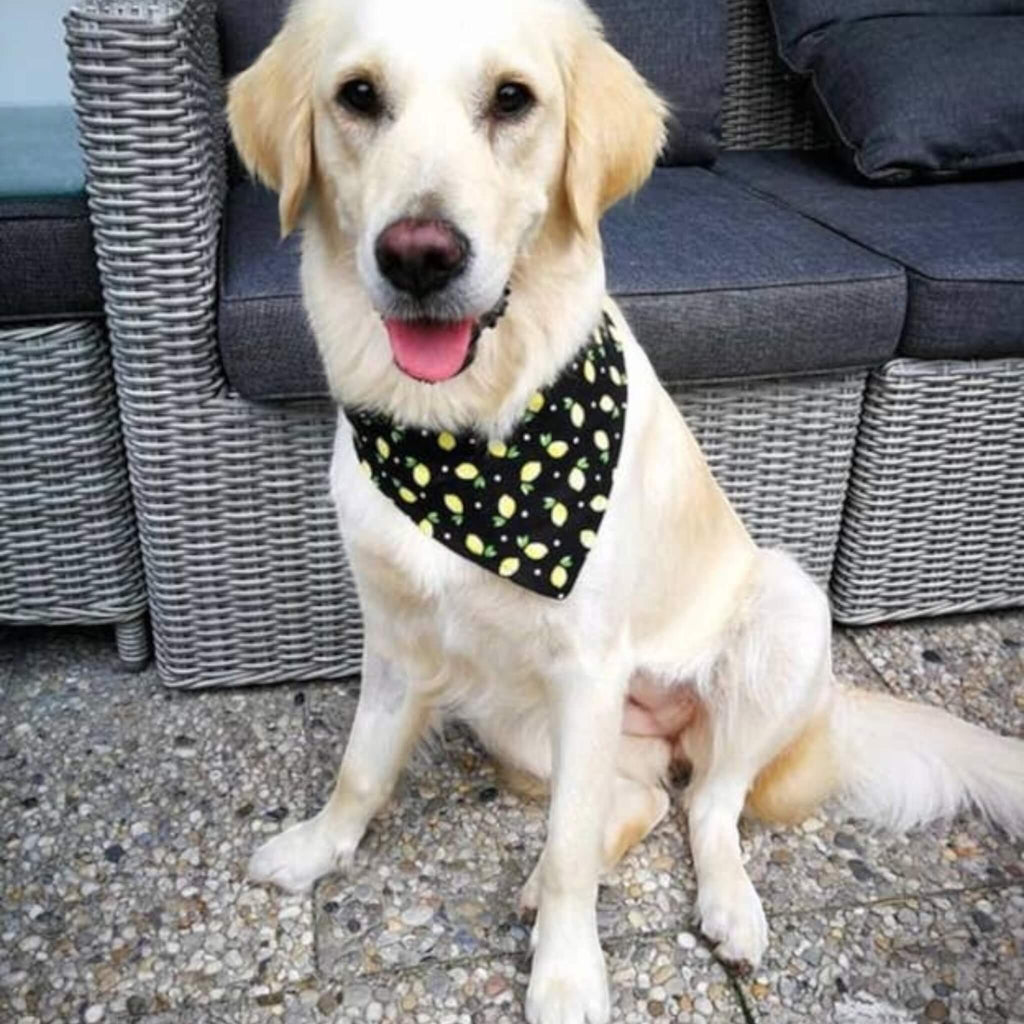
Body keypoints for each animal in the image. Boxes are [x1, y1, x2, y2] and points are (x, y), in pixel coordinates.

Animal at [230, 2, 1024, 1024]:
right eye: (357, 96)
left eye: (513, 99)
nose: (418, 258)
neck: (464, 437)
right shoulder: (401, 641)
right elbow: (362, 768)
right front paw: (316, 850)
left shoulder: (588, 665)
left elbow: (572, 846)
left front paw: (568, 977)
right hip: (517, 713)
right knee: (645, 799)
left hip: (783, 611)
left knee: (709, 803)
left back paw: (727, 906)